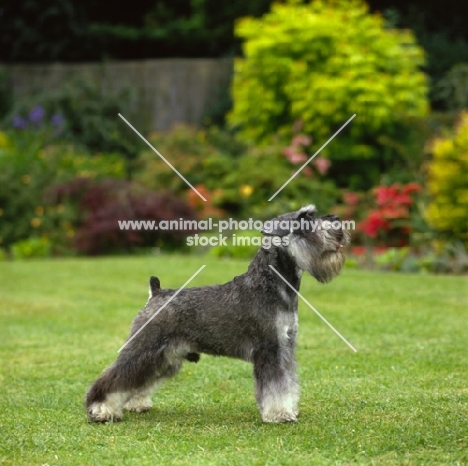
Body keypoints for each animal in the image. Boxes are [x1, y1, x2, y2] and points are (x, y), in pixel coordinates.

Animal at [86, 206, 350, 424]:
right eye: (304, 219)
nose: (337, 219)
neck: (271, 284)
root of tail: (156, 293)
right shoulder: (270, 349)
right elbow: (276, 386)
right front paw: (279, 414)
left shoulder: (285, 347)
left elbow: (288, 382)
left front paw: (289, 409)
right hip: (145, 348)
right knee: (114, 377)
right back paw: (101, 411)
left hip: (165, 357)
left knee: (139, 380)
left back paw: (136, 404)